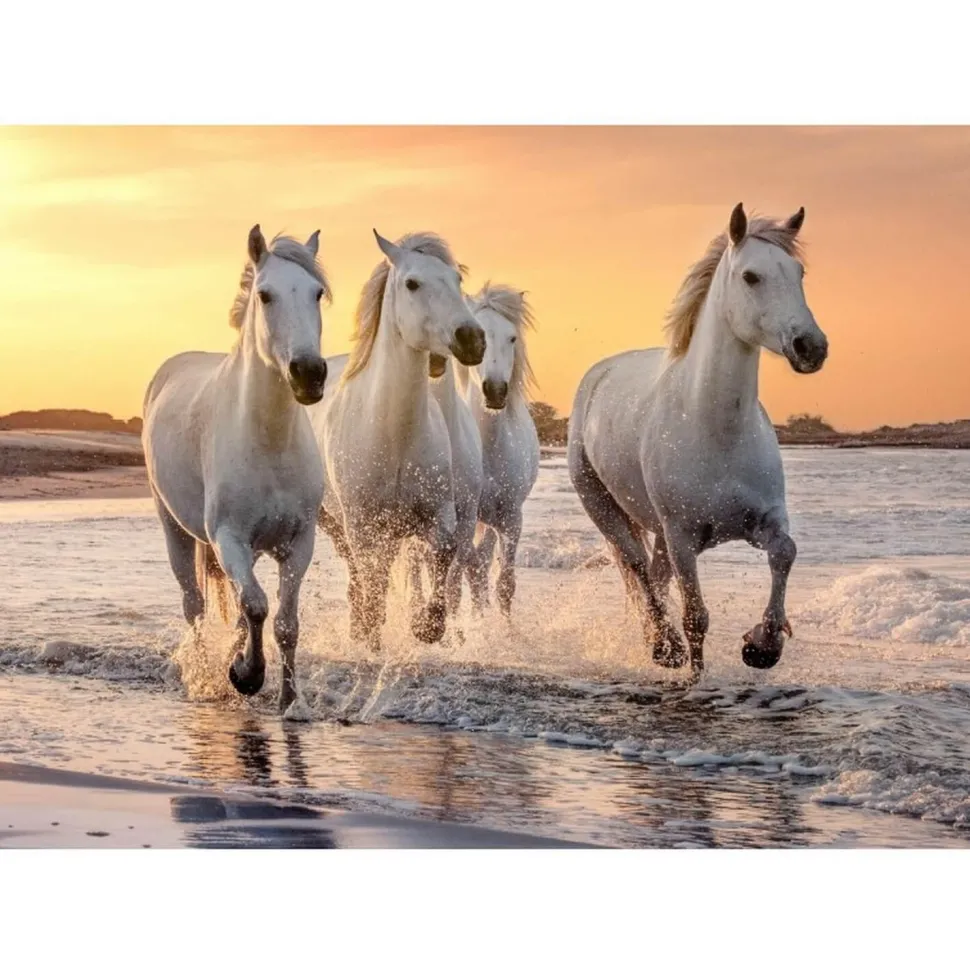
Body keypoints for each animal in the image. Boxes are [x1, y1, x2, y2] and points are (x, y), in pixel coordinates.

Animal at [143, 226, 330, 719]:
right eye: (265, 295)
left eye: (317, 293)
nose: (309, 373)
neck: (269, 442)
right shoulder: (229, 537)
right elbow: (257, 605)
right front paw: (247, 675)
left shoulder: (298, 543)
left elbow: (284, 621)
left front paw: (289, 699)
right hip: (175, 528)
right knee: (194, 605)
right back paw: (206, 673)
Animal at [308, 230, 485, 652]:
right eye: (412, 283)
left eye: (457, 280)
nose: (471, 339)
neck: (395, 435)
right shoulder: (362, 525)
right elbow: (372, 582)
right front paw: (372, 633)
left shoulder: (440, 514)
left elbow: (444, 554)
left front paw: (427, 626)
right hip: (335, 522)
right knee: (360, 576)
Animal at [456, 283, 540, 616]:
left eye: (512, 337)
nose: (494, 391)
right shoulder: (462, 520)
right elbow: (470, 574)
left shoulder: (511, 518)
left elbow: (504, 584)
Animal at [567, 204, 828, 675]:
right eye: (750, 276)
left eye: (798, 272)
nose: (811, 347)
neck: (715, 430)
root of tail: (598, 375)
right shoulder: (683, 537)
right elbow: (696, 618)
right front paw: (696, 671)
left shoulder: (764, 520)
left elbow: (785, 552)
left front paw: (763, 645)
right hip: (604, 507)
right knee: (637, 567)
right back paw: (663, 646)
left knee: (653, 575)